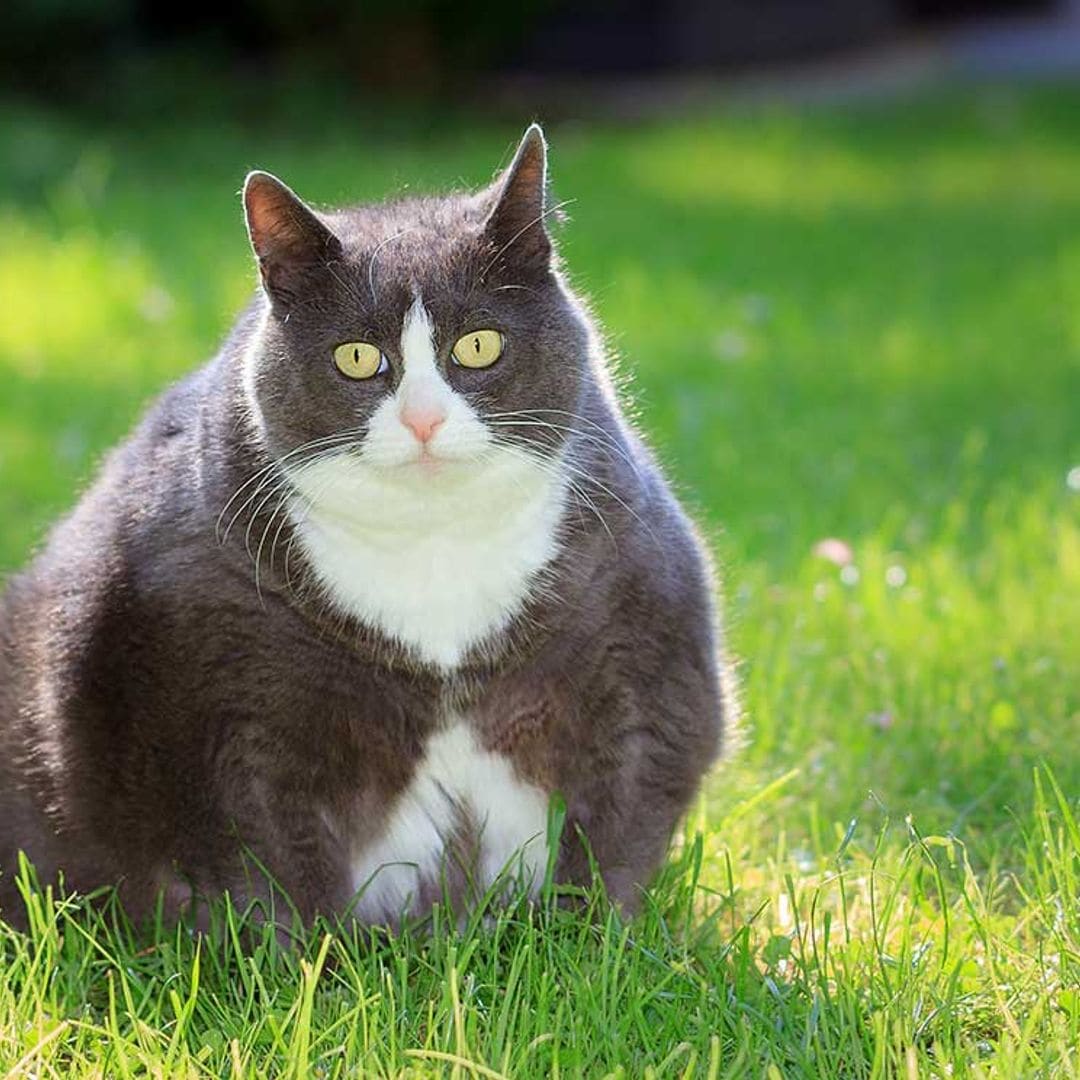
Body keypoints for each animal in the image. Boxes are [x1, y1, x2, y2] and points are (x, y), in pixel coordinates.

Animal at [0, 126, 734, 933]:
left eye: (479, 345)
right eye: (357, 357)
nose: (423, 420)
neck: (435, 556)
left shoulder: (644, 649)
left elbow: (620, 830)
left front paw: (594, 943)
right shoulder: (219, 710)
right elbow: (270, 874)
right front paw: (317, 964)